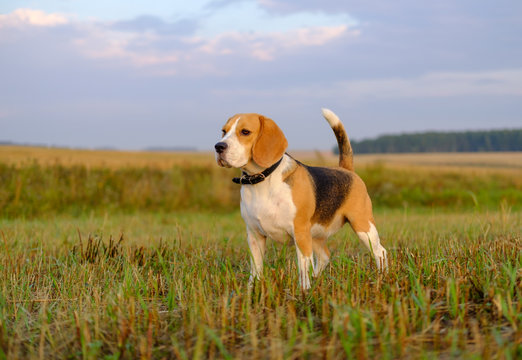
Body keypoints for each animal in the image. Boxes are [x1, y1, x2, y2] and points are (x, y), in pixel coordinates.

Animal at [212, 109, 386, 290]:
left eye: (245, 132)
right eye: (224, 131)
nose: (218, 146)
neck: (262, 181)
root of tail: (346, 169)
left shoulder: (300, 233)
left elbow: (303, 268)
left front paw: (304, 292)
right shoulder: (254, 235)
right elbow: (256, 268)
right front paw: (252, 289)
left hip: (363, 226)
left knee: (380, 251)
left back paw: (382, 277)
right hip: (315, 233)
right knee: (324, 256)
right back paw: (316, 279)